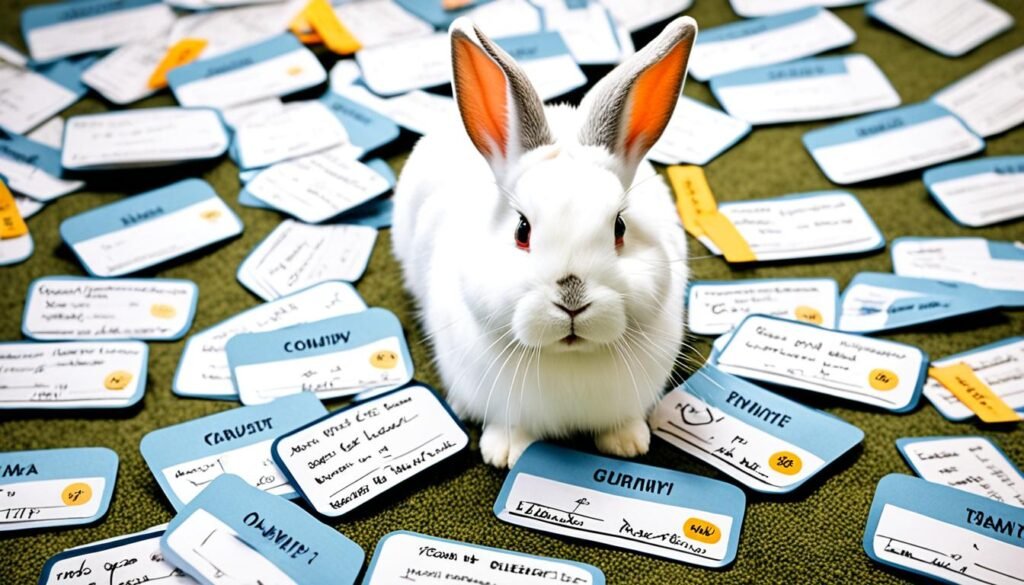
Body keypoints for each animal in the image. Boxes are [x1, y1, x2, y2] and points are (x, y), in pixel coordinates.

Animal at [391, 15, 696, 468]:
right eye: (522, 230)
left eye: (620, 228)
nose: (572, 298)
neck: (567, 360)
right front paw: (506, 453)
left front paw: (628, 443)